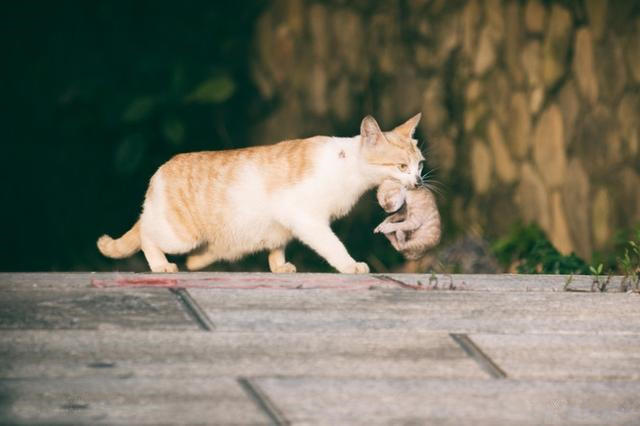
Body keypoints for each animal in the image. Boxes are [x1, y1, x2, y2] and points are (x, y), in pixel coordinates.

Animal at [96, 113, 424, 272]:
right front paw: (350, 265)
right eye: (401, 166)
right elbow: (333, 246)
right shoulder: (306, 218)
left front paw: (279, 267)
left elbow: (278, 245)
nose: (419, 181)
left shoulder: (284, 223)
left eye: (419, 164)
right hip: (179, 234)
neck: (348, 167)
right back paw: (161, 265)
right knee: (146, 235)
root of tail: (160, 171)